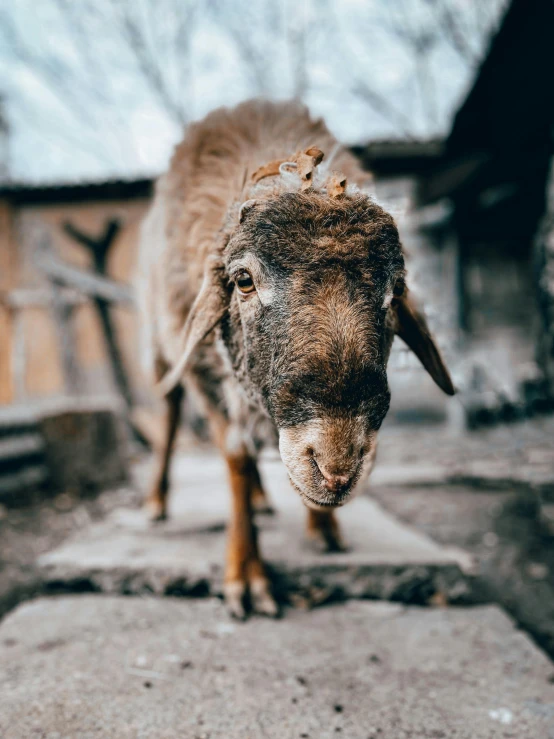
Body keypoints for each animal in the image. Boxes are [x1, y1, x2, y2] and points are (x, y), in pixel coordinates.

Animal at [135, 98, 452, 620]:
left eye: (395, 290)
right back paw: (158, 501)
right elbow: (236, 459)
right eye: (243, 280)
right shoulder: (209, 378)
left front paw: (322, 528)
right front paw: (245, 575)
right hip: (166, 351)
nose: (337, 468)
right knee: (172, 412)